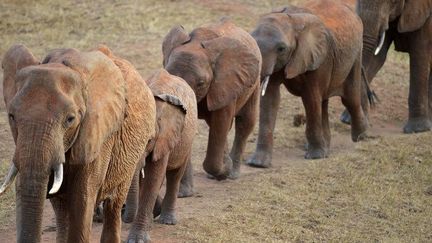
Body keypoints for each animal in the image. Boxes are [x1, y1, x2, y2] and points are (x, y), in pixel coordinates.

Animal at [0, 44, 155, 243]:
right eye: (11, 116)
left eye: (70, 119)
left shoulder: (99, 135)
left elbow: (82, 198)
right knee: (61, 210)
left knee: (114, 204)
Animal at [123, 69, 197, 243]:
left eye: (149, 140)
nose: (124, 217)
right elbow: (144, 178)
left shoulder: (165, 136)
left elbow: (153, 177)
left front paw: (137, 239)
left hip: (186, 141)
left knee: (174, 175)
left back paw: (168, 220)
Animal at [162, 19, 262, 180]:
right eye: (170, 76)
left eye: (201, 83)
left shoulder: (225, 84)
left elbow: (221, 121)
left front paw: (224, 170)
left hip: (254, 80)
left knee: (245, 121)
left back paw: (232, 173)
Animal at [246, 0, 368, 165]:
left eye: (281, 49)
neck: (291, 20)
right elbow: (270, 99)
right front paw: (258, 164)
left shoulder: (318, 57)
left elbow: (310, 99)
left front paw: (315, 156)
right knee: (323, 102)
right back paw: (327, 147)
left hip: (356, 54)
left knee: (349, 98)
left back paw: (360, 137)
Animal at [340, 0, 432, 134]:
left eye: (393, 1)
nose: (372, 96)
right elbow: (377, 56)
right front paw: (349, 120)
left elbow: (420, 54)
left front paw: (417, 129)